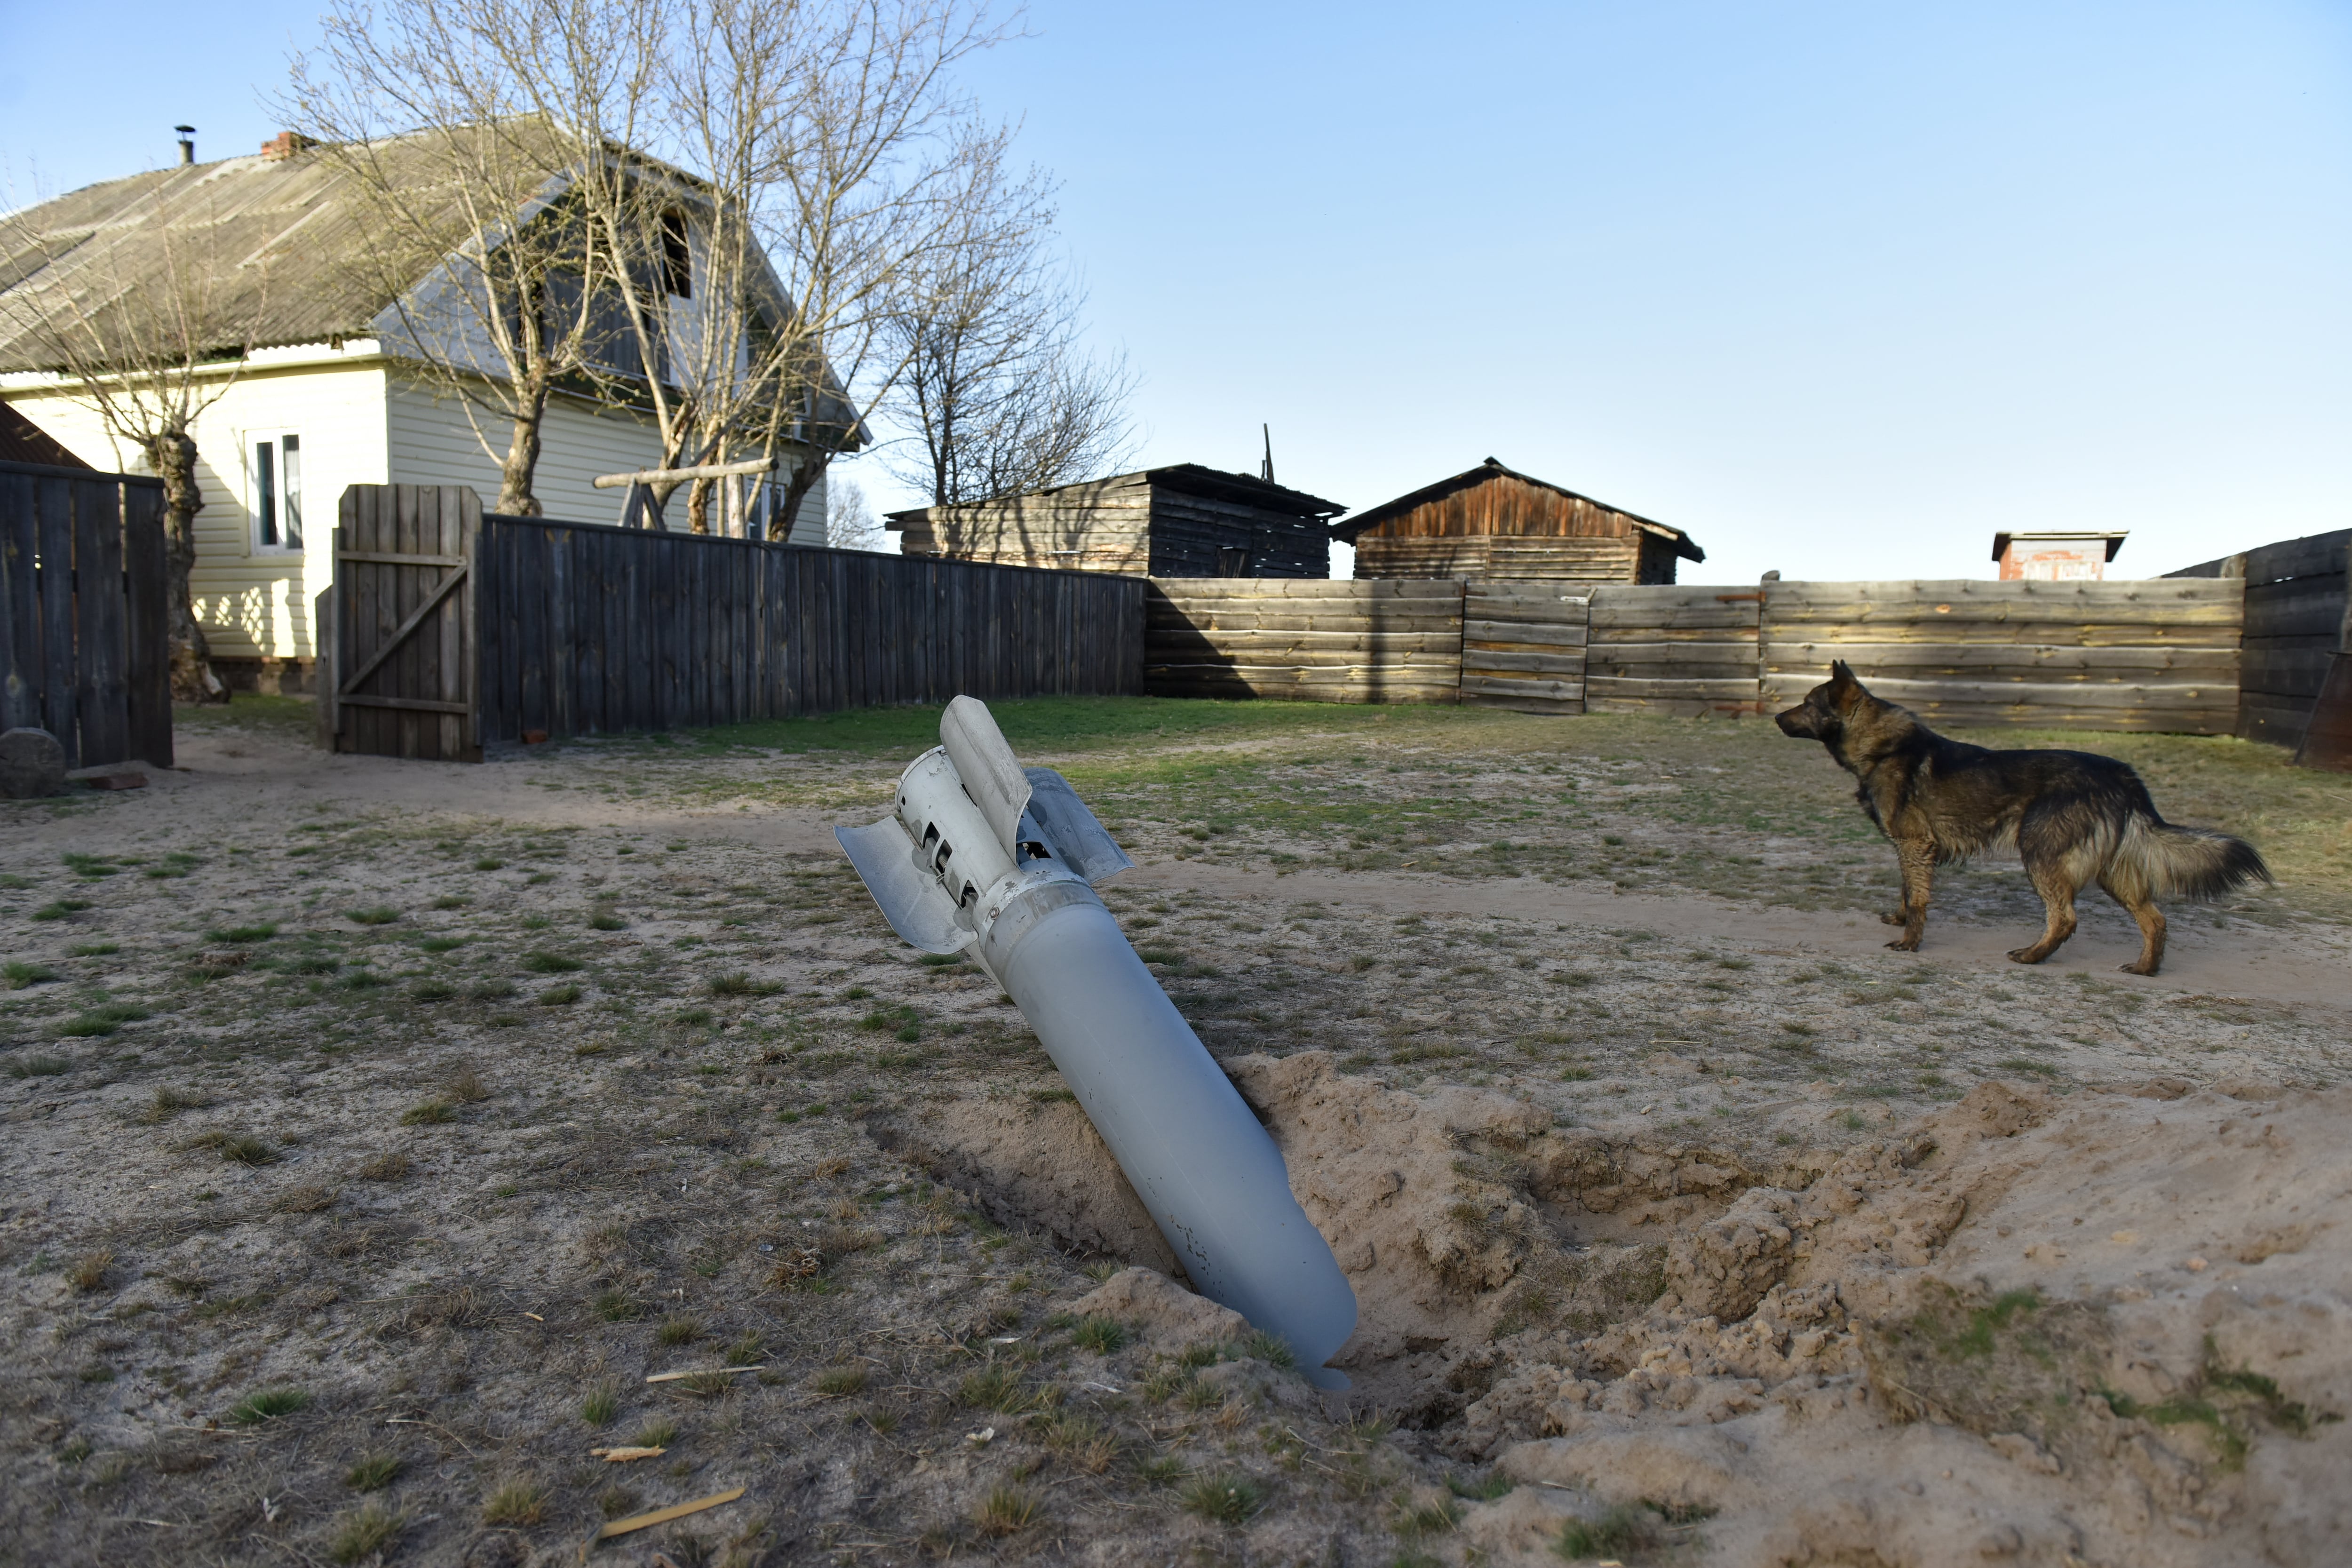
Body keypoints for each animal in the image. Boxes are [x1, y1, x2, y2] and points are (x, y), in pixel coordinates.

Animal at [1769, 658, 2267, 973]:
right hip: (2110, 871)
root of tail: (2122, 774)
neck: (1883, 747)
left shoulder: (1914, 844)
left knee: (2065, 918)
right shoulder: (1912, 849)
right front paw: (1899, 919)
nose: (1774, 718)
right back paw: (2146, 968)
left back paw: (2033, 956)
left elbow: (1919, 898)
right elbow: (1907, 891)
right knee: (2155, 920)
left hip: (2041, 854)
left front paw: (1910, 942)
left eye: (1808, 703)